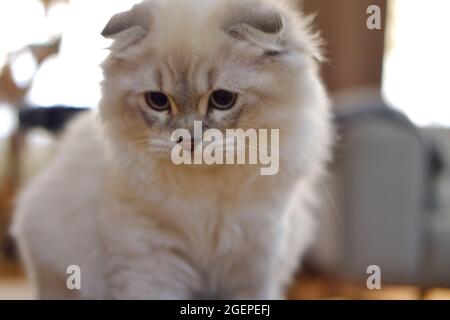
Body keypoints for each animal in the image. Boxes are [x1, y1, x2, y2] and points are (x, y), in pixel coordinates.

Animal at [12, 0, 332, 300]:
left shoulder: (254, 263)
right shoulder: (150, 259)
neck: (205, 197)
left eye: (222, 99)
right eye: (158, 101)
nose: (186, 139)